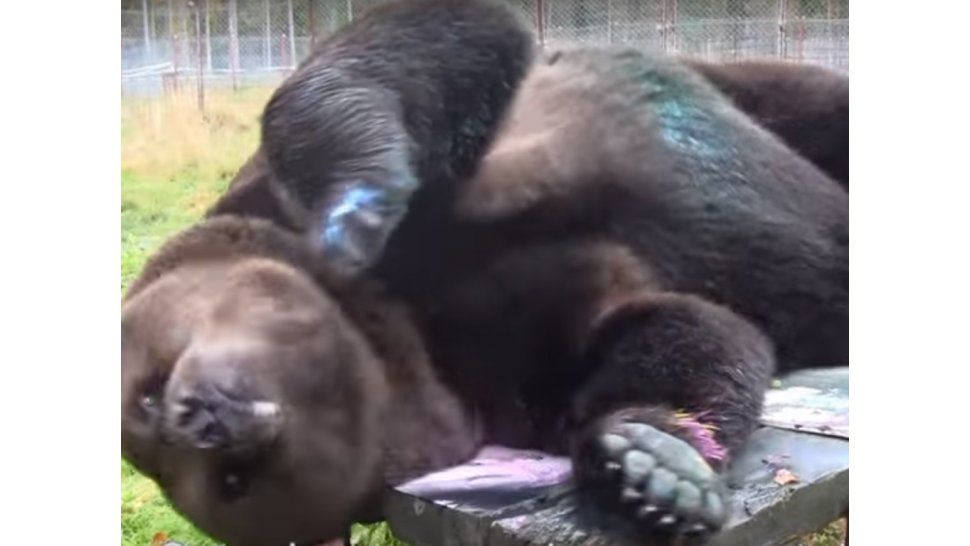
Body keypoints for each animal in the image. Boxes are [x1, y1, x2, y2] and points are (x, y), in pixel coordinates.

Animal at [122, 1, 848, 545]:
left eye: (149, 392)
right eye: (228, 485)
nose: (203, 421)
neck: (400, 319)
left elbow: (428, 43)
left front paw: (357, 205)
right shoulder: (498, 372)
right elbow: (681, 330)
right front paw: (651, 466)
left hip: (762, 90)